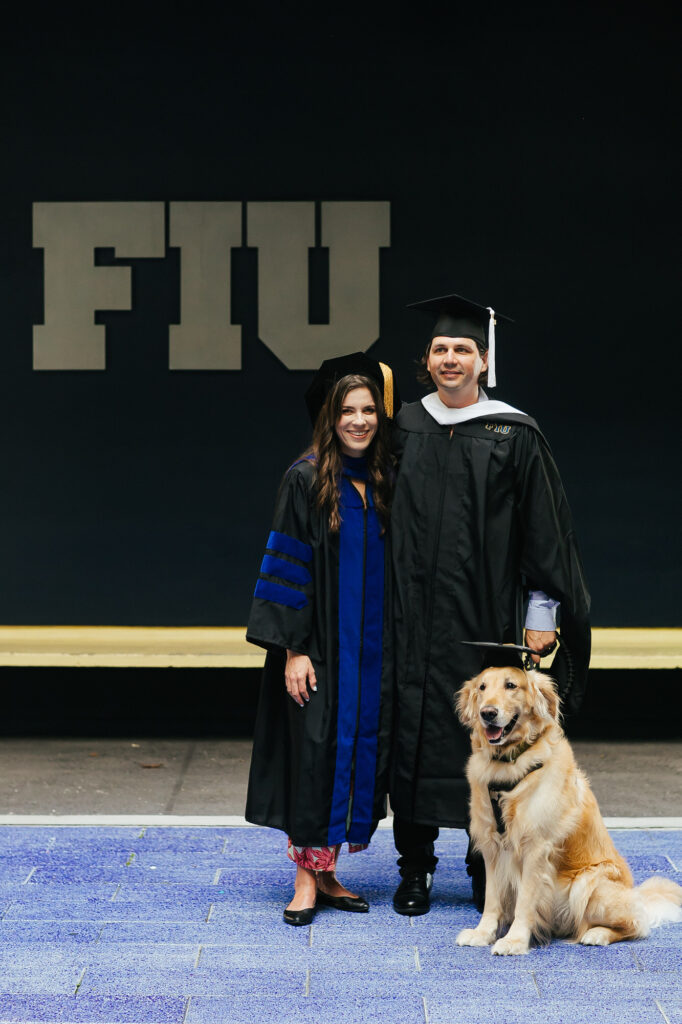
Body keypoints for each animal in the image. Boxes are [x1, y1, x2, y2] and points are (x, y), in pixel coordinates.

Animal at [450, 667, 679, 954]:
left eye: (511, 685)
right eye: (482, 688)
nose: (487, 713)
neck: (509, 766)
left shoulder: (536, 848)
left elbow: (525, 901)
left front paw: (514, 940)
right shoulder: (492, 847)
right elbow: (492, 899)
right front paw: (483, 933)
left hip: (588, 884)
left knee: (637, 924)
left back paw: (597, 934)